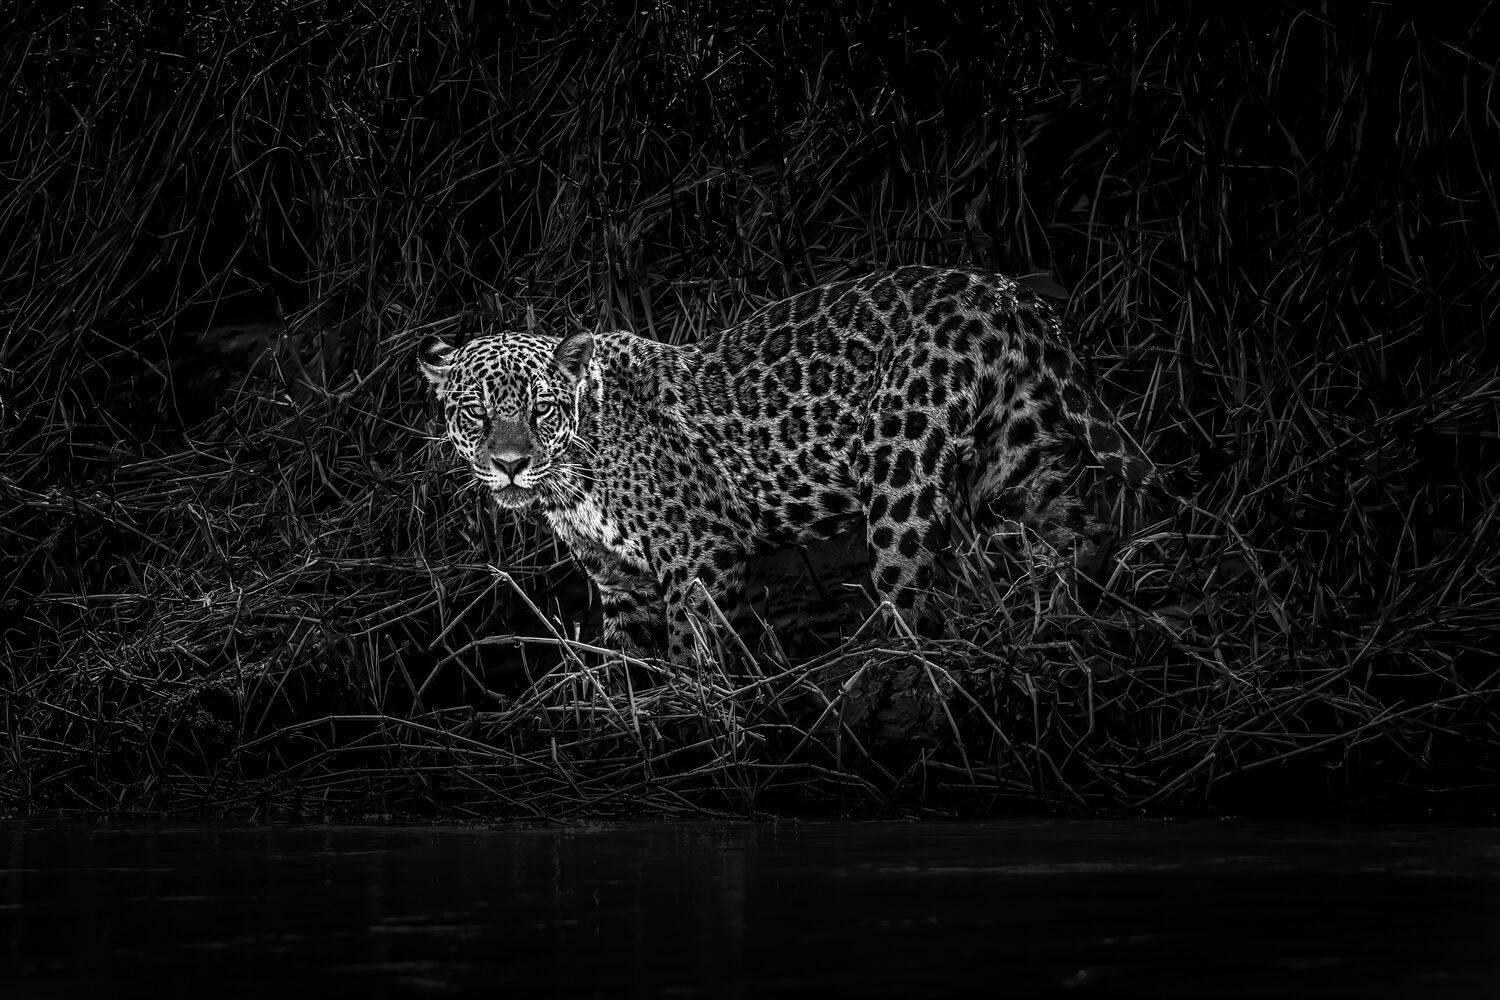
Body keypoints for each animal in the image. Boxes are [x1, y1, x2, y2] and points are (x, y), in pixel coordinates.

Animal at [419, 265, 1157, 663]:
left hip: (899, 466)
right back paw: (1066, 616)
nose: (511, 465)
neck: (573, 479)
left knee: (910, 597)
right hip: (1014, 456)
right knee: (1084, 527)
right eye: (475, 413)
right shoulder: (619, 578)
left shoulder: (700, 554)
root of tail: (1006, 290)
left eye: (542, 409)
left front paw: (695, 717)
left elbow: (694, 654)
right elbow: (627, 663)